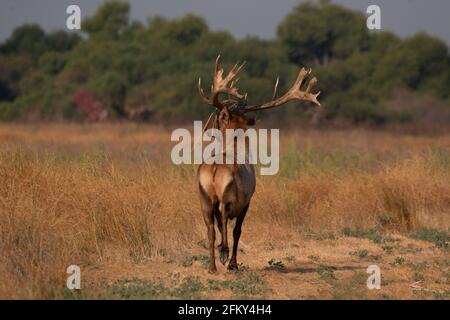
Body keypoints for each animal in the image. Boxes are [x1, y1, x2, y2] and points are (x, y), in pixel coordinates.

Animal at [197, 55, 320, 272]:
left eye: (217, 119)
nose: (209, 129)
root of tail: (214, 169)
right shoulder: (248, 199)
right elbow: (238, 230)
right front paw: (233, 262)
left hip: (203, 196)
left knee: (210, 227)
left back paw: (212, 266)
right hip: (227, 194)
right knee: (224, 219)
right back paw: (224, 256)